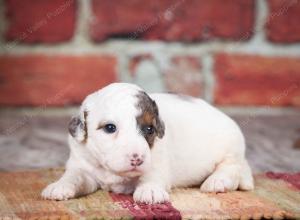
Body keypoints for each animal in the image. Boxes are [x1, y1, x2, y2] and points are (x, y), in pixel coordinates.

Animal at [41, 82, 253, 203]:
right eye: (110, 128)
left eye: (149, 129)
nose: (137, 159)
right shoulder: (81, 165)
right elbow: (73, 176)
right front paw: (59, 186)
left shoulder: (157, 161)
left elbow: (152, 175)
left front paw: (149, 190)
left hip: (231, 148)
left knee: (232, 168)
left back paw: (217, 181)